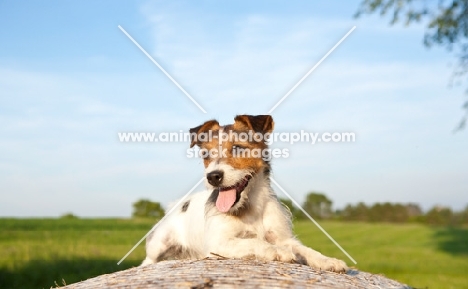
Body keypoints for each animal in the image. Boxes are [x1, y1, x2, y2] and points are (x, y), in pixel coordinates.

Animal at [143, 113, 348, 272]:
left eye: (237, 148)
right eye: (205, 155)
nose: (213, 176)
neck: (250, 206)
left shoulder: (283, 238)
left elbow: (306, 250)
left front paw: (328, 260)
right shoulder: (218, 243)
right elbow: (254, 242)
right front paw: (277, 251)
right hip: (158, 244)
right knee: (149, 260)